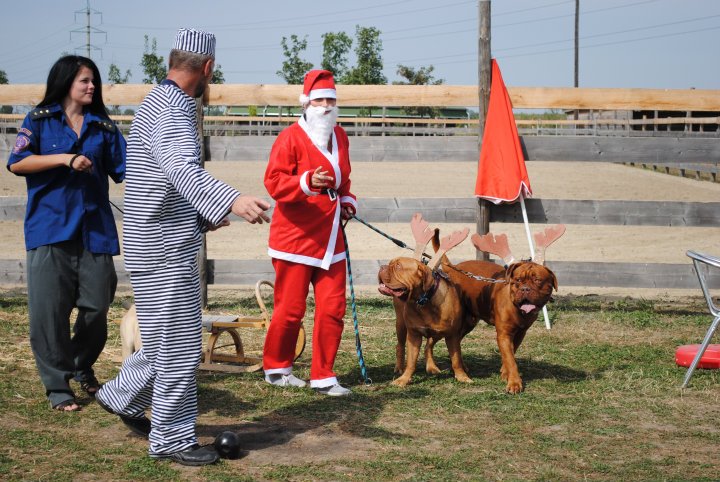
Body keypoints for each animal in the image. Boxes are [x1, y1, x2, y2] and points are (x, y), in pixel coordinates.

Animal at [378, 214, 472, 386]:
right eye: (390, 264)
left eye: (399, 267)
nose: (382, 267)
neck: (424, 301)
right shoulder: (413, 335)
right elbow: (411, 361)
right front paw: (404, 379)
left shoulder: (453, 335)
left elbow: (456, 359)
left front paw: (462, 376)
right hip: (401, 325)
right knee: (400, 346)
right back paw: (399, 368)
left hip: (439, 332)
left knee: (429, 346)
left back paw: (432, 367)